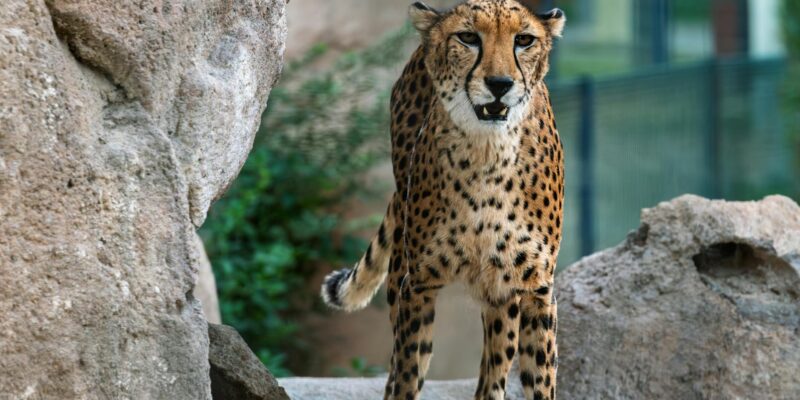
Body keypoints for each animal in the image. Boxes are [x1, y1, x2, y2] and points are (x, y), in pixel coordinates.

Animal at [321, 1, 565, 399]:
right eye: (468, 37)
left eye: (524, 40)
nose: (500, 85)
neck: (488, 154)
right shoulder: (415, 283)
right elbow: (406, 373)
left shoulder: (536, 288)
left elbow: (540, 380)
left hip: (501, 294)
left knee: (494, 367)